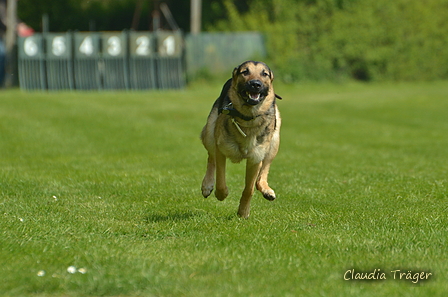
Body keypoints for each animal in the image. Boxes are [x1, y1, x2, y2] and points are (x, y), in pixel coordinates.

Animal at [201, 60, 282, 217]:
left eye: (264, 74)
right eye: (245, 72)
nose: (255, 84)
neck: (248, 117)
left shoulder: (255, 159)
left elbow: (249, 189)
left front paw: (243, 212)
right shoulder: (221, 150)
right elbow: (220, 179)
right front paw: (221, 194)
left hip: (274, 141)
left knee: (263, 171)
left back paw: (266, 189)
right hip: (209, 132)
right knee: (211, 158)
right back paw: (207, 185)